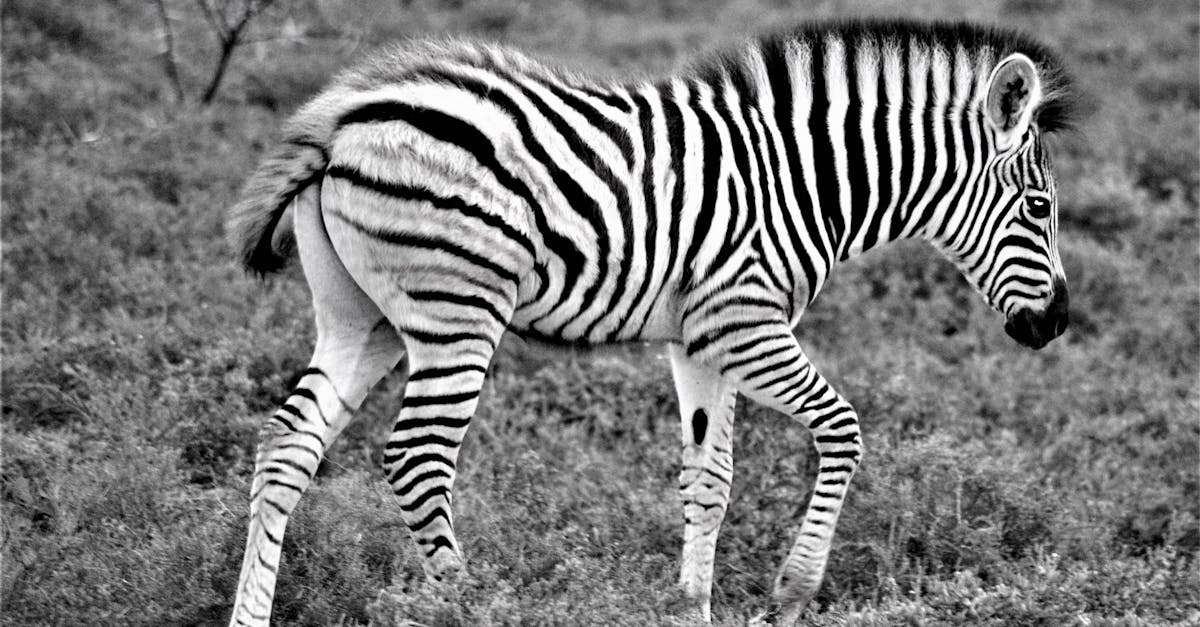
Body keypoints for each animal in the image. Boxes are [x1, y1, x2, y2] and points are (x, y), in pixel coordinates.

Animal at [226, 18, 1074, 626]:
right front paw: (794, 587)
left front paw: (690, 607)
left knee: (287, 443)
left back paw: (251, 613)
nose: (1058, 324)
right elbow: (842, 427)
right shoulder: (747, 322)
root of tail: (342, 120)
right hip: (456, 312)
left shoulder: (699, 341)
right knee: (416, 459)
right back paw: (471, 603)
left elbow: (709, 478)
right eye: (1039, 208)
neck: (805, 182)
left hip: (359, 318)